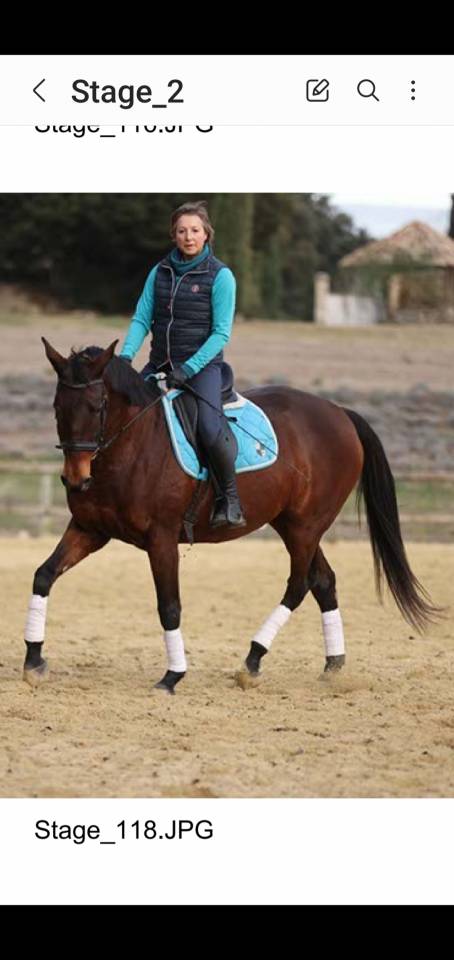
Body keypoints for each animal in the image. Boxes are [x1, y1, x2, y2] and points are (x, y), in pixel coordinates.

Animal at [23, 338, 438, 694]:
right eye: (58, 407)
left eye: (97, 408)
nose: (76, 479)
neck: (130, 447)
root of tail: (340, 413)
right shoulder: (90, 529)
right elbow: (44, 575)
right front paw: (33, 661)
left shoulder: (161, 538)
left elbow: (169, 606)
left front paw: (172, 676)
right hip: (293, 524)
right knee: (323, 581)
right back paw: (333, 664)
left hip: (306, 526)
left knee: (299, 584)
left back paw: (253, 660)